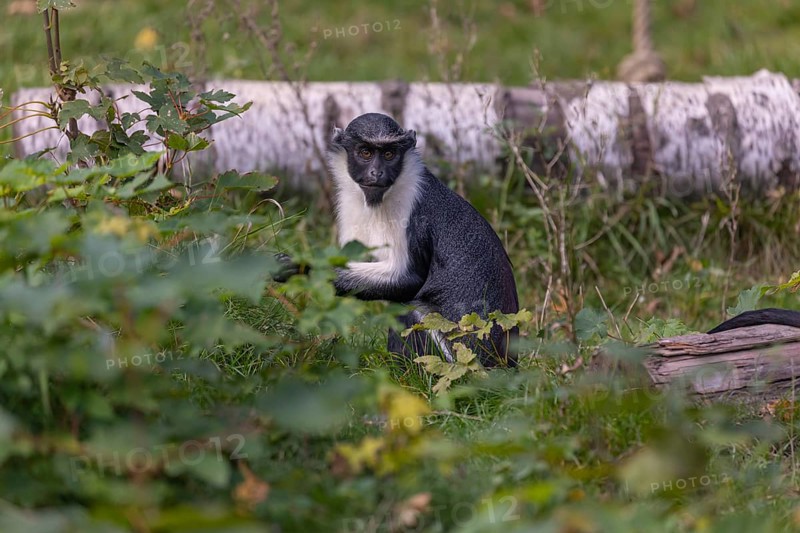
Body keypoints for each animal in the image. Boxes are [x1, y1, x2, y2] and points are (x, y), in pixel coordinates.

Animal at [308, 112, 520, 367]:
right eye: (365, 152)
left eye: (389, 154)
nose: (376, 172)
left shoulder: (410, 209)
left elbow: (408, 279)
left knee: (410, 308)